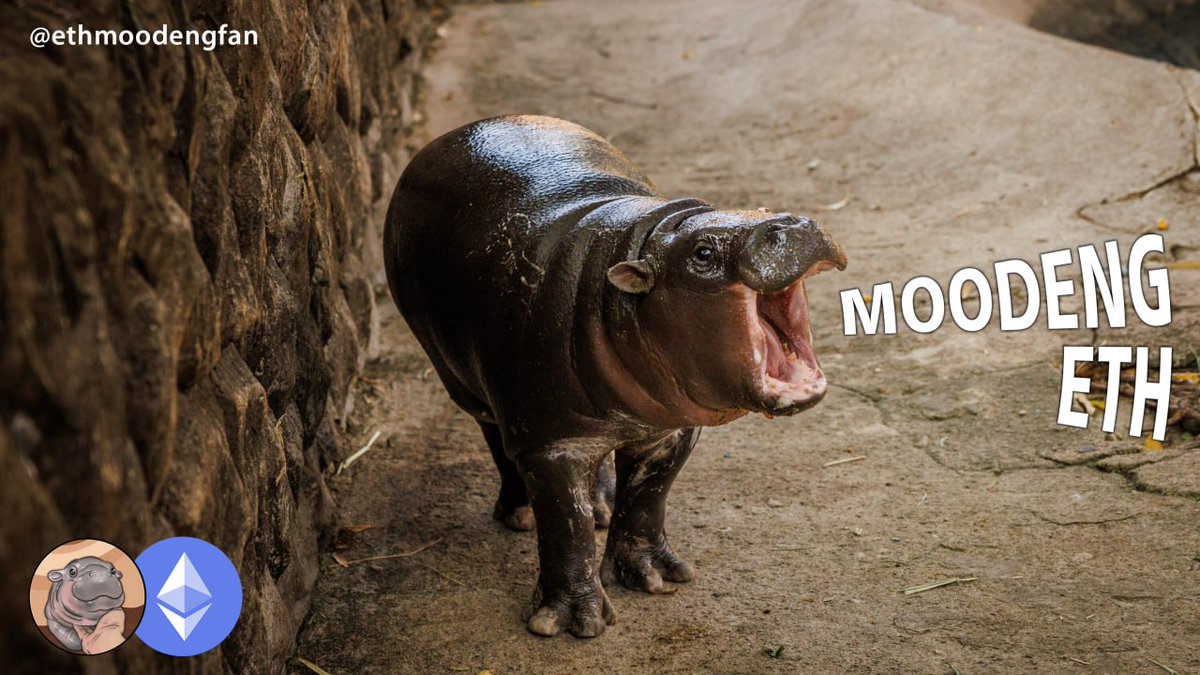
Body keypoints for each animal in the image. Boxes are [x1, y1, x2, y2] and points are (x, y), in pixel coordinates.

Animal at [383, 115, 846, 638]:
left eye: (764, 208)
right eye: (702, 253)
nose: (793, 222)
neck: (639, 246)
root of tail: (449, 137)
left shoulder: (671, 429)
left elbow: (647, 499)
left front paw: (657, 576)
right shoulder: (550, 444)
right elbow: (566, 526)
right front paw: (570, 622)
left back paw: (600, 506)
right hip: (466, 382)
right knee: (496, 436)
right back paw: (521, 514)